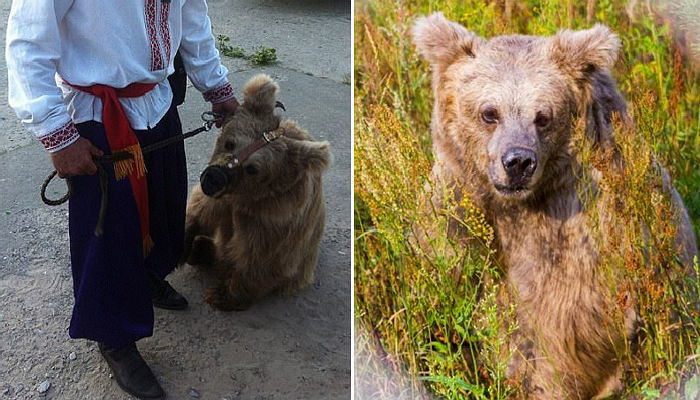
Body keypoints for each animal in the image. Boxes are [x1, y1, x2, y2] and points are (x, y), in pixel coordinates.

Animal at [183, 76, 330, 312]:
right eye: (230, 142)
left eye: (253, 168)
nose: (214, 178)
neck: (244, 195)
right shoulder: (218, 199)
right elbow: (197, 212)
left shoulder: (274, 216)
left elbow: (260, 257)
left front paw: (222, 295)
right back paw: (199, 248)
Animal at [412, 12, 696, 400]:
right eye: (489, 113)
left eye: (543, 116)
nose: (518, 161)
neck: (517, 205)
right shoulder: (457, 205)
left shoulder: (578, 230)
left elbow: (563, 323)